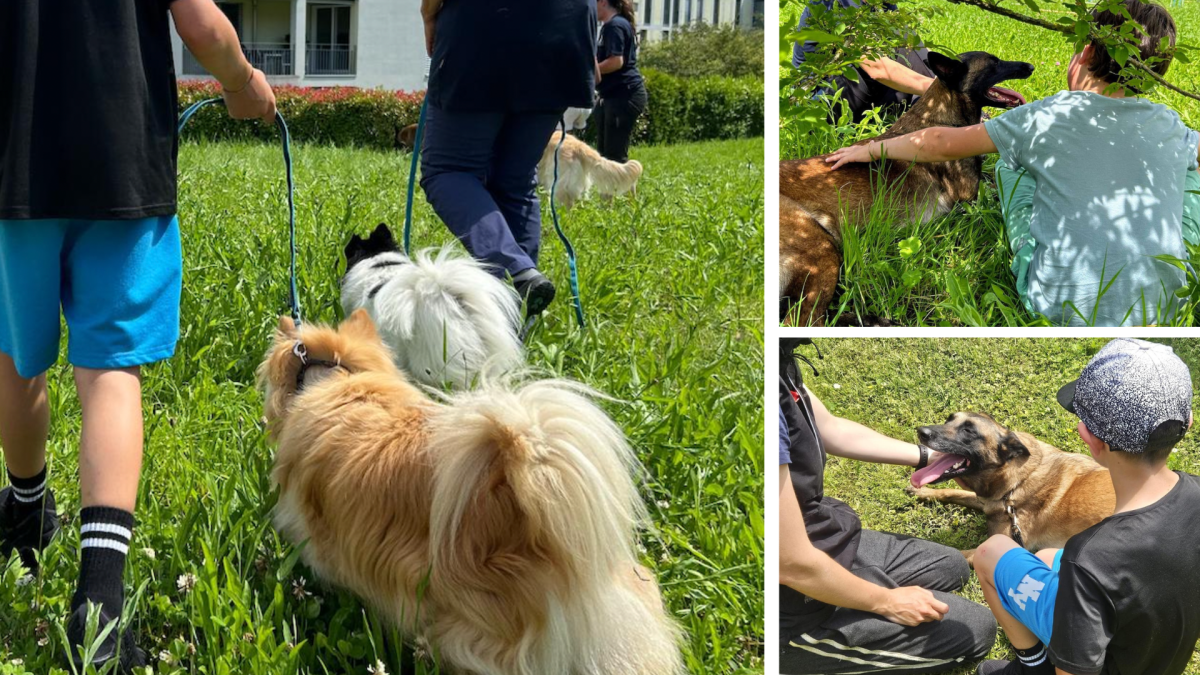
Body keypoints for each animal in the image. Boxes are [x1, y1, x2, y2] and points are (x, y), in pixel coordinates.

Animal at [777, 49, 1032, 324]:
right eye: (994, 64)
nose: (1030, 66)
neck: (941, 116)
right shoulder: (971, 197)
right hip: (821, 247)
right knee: (805, 320)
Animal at [907, 410, 1113, 562]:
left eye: (969, 431)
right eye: (948, 420)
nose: (921, 431)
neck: (1016, 483)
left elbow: (957, 553)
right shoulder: (990, 500)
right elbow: (953, 492)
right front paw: (922, 491)